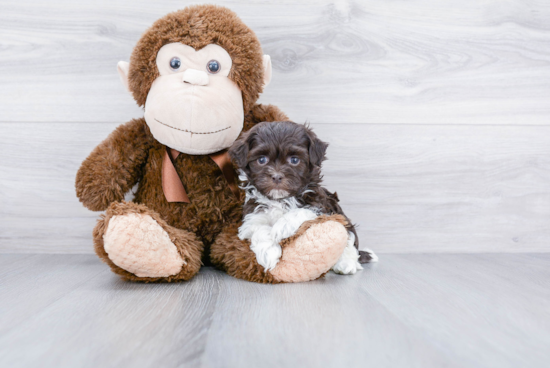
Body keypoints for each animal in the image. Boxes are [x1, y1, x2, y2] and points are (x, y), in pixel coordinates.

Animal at [230, 122, 380, 274]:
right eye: (261, 160)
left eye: (294, 160)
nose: (277, 176)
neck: (281, 199)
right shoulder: (253, 215)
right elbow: (258, 228)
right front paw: (268, 253)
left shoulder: (322, 206)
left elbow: (302, 211)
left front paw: (281, 227)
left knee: (349, 241)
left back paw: (346, 264)